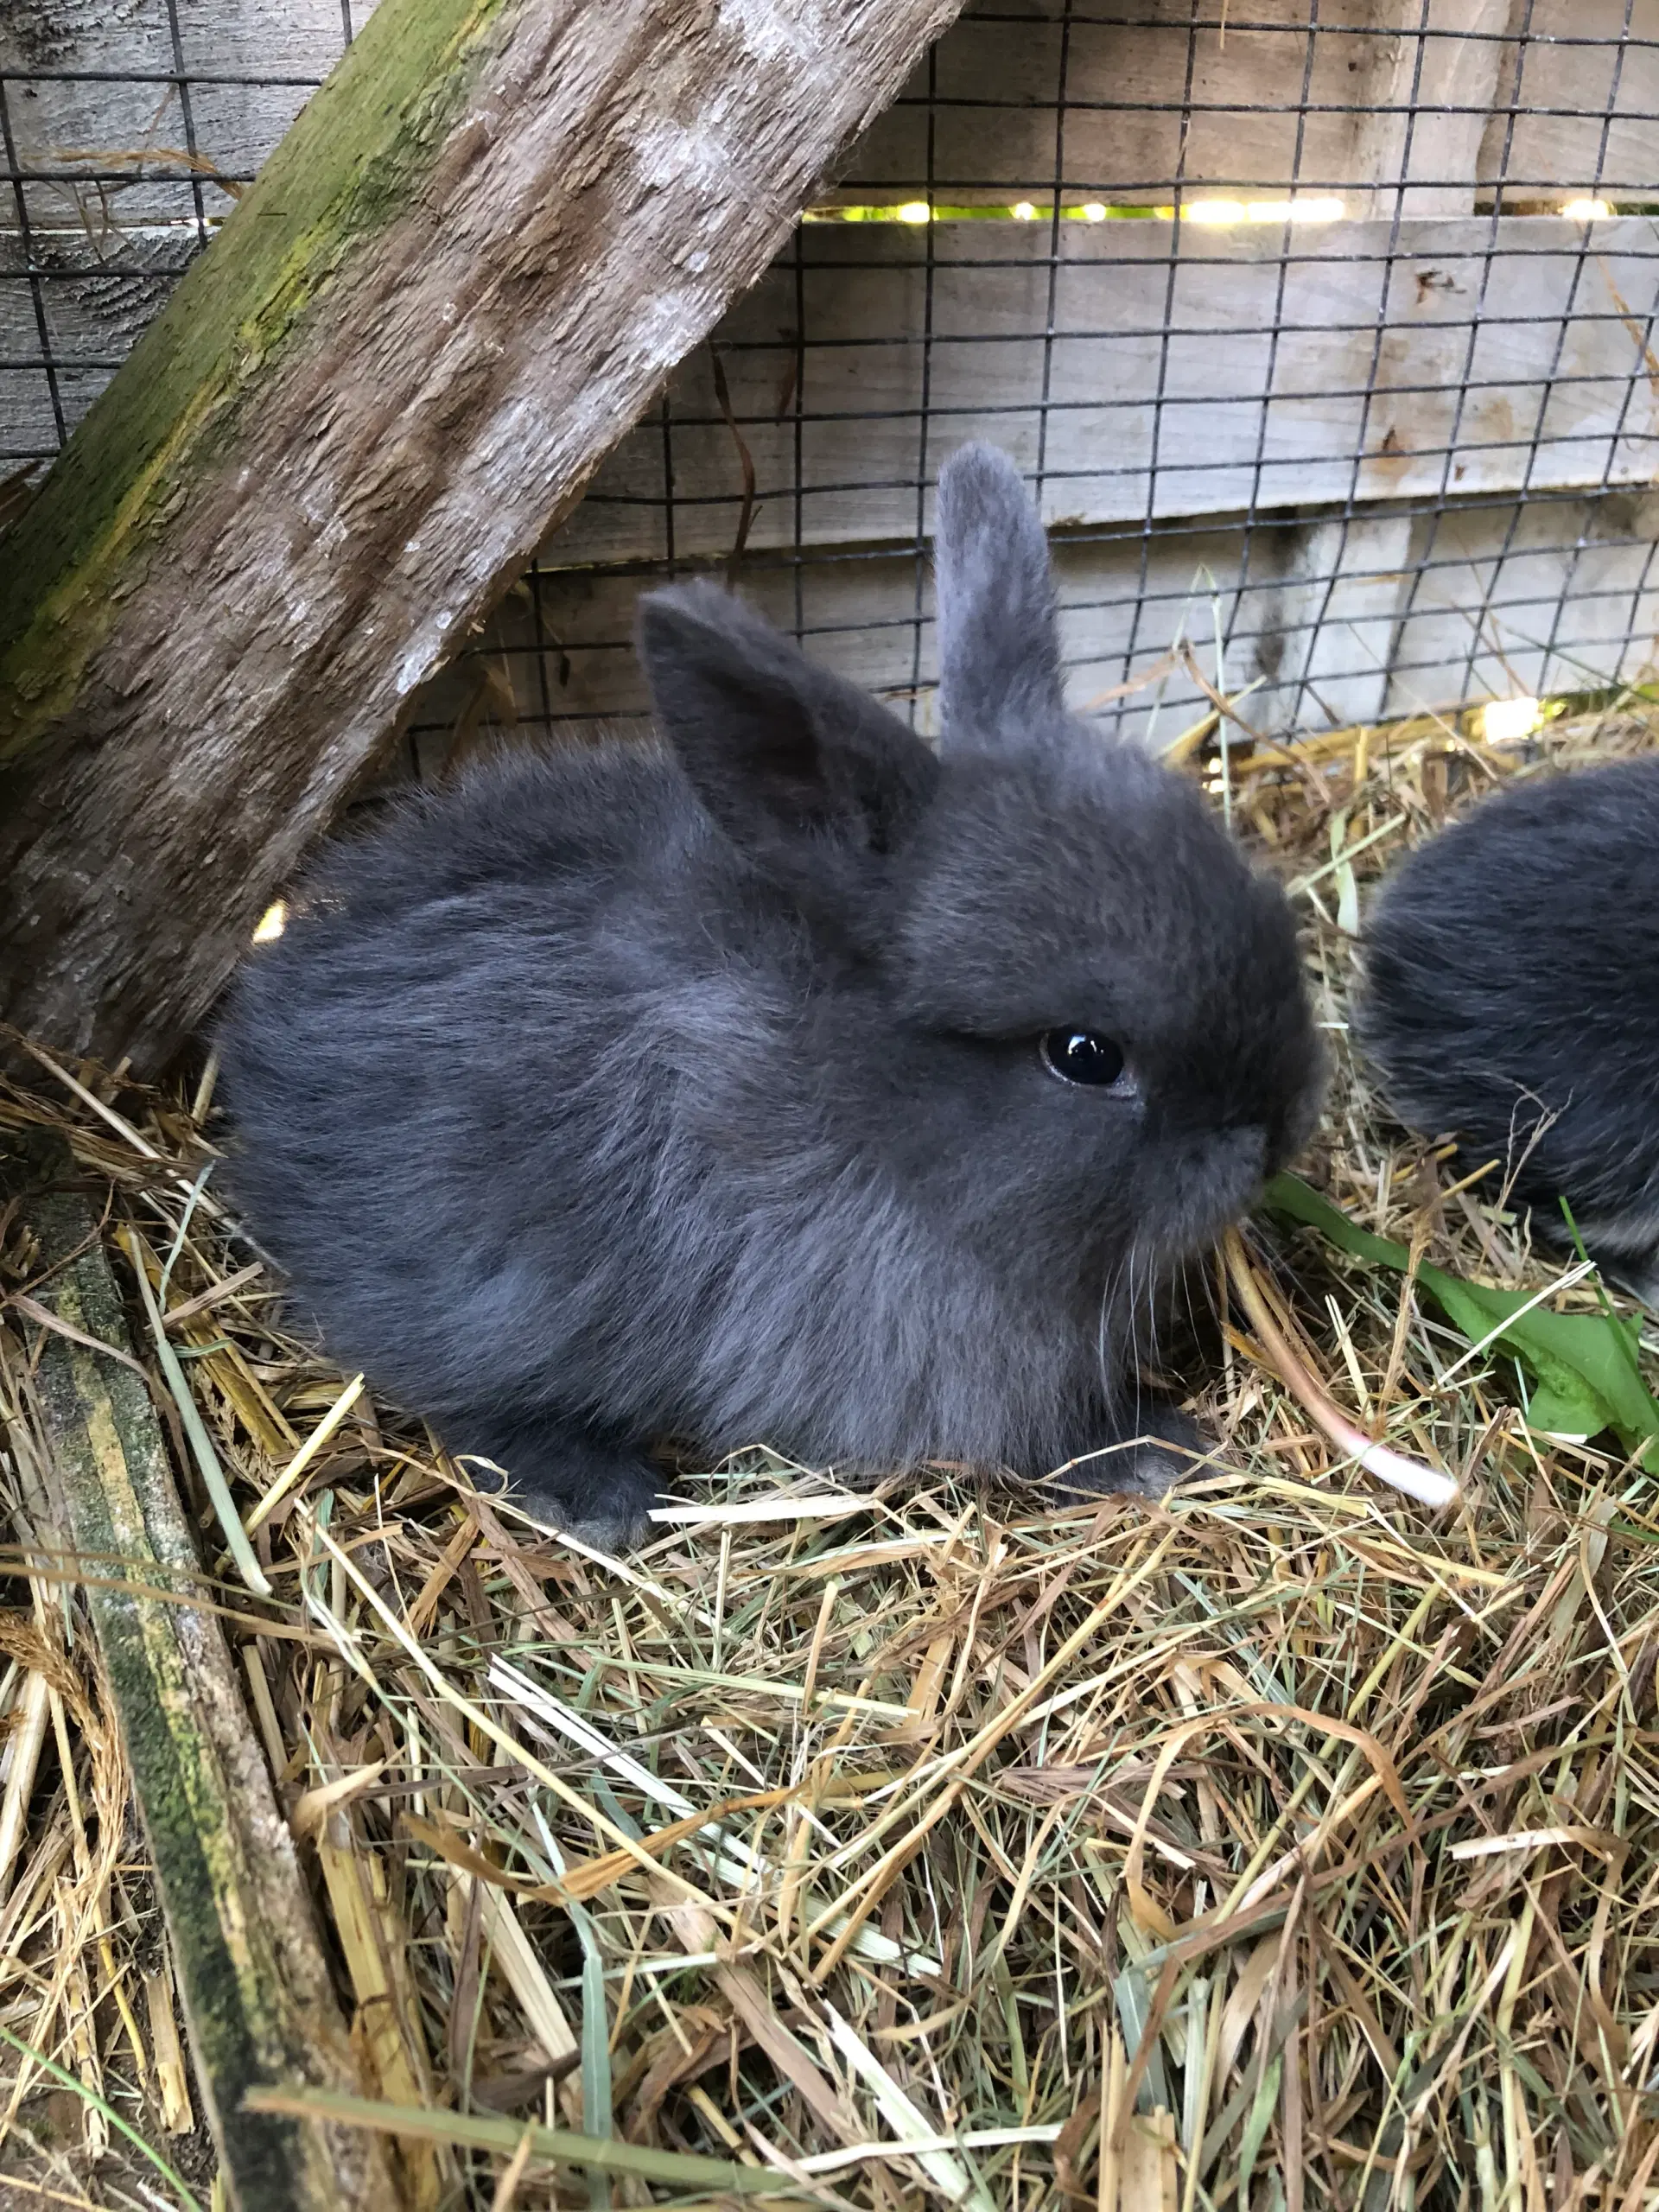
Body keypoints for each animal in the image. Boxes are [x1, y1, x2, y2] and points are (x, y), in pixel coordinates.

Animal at [218, 444, 1327, 1539]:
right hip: (493, 1298)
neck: (874, 1106)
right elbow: (1040, 1436)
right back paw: (608, 1499)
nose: (1273, 1138)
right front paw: (1158, 1448)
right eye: (1085, 1055)